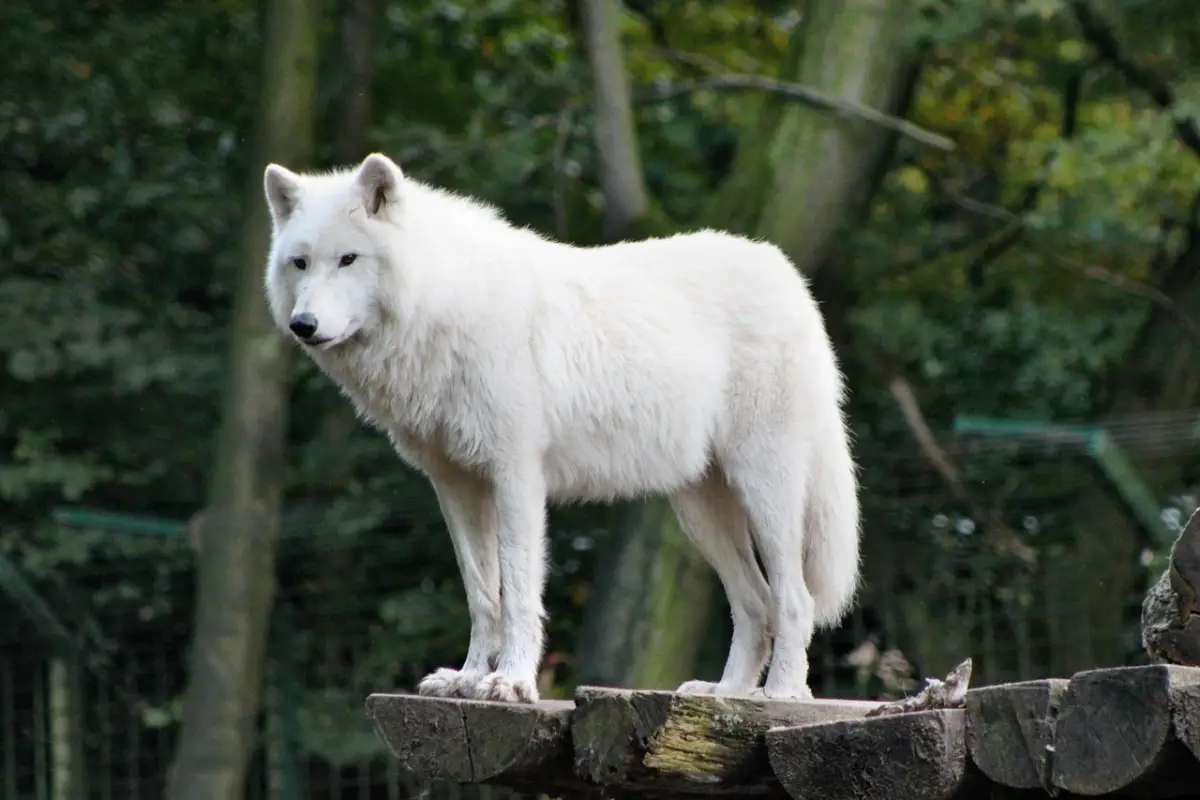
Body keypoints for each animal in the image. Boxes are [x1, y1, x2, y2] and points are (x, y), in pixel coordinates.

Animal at [265, 153, 864, 705]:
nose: (303, 325)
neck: (443, 304)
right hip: (700, 510)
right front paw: (467, 679)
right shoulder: (455, 485)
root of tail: (788, 275)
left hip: (764, 491)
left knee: (795, 599)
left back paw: (781, 694)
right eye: (300, 263)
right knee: (756, 603)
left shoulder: (517, 477)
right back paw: (725, 694)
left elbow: (518, 591)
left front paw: (510, 682)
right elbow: (482, 594)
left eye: (348, 259)